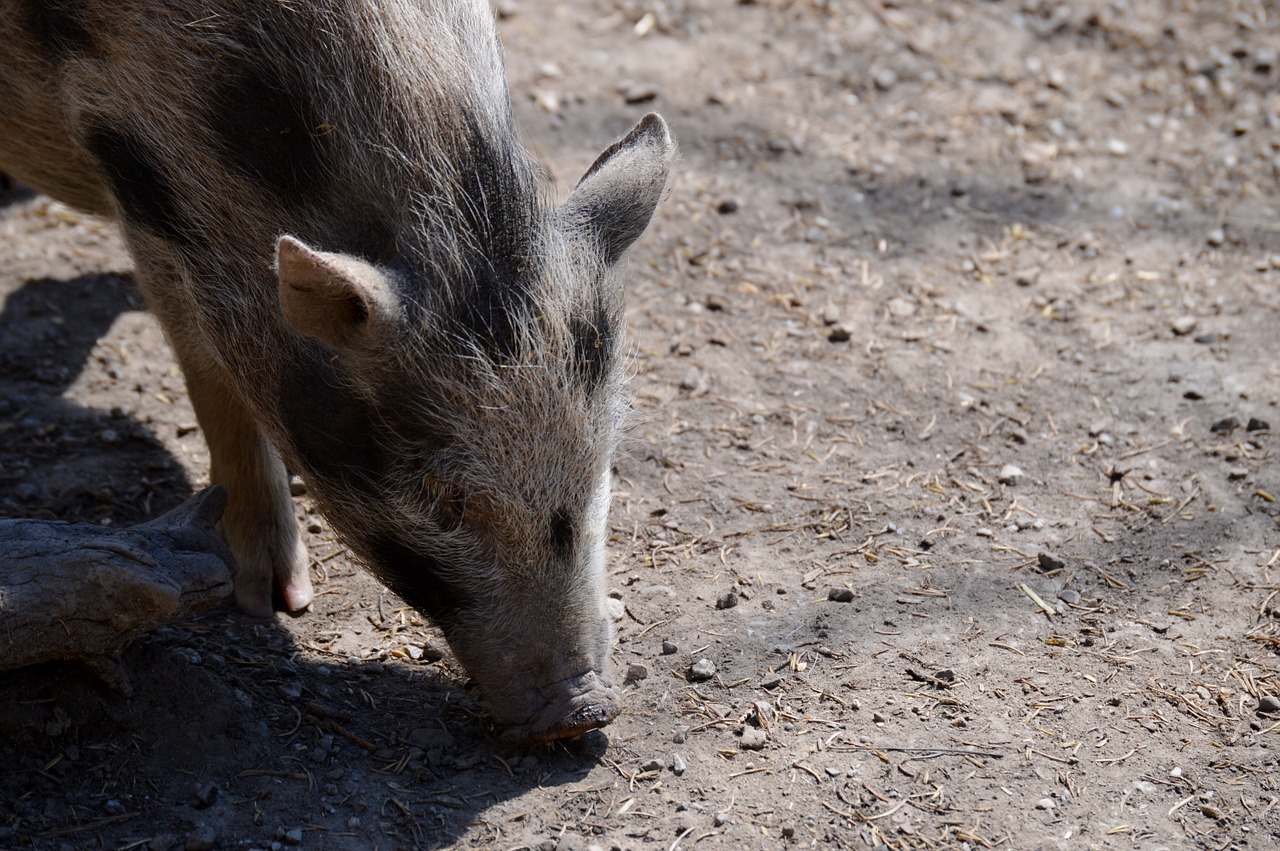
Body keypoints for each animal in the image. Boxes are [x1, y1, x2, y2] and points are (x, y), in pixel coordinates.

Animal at [0, 0, 675, 742]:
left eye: (600, 462)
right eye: (443, 495)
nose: (585, 711)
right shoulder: (140, 181)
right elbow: (211, 371)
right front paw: (271, 600)